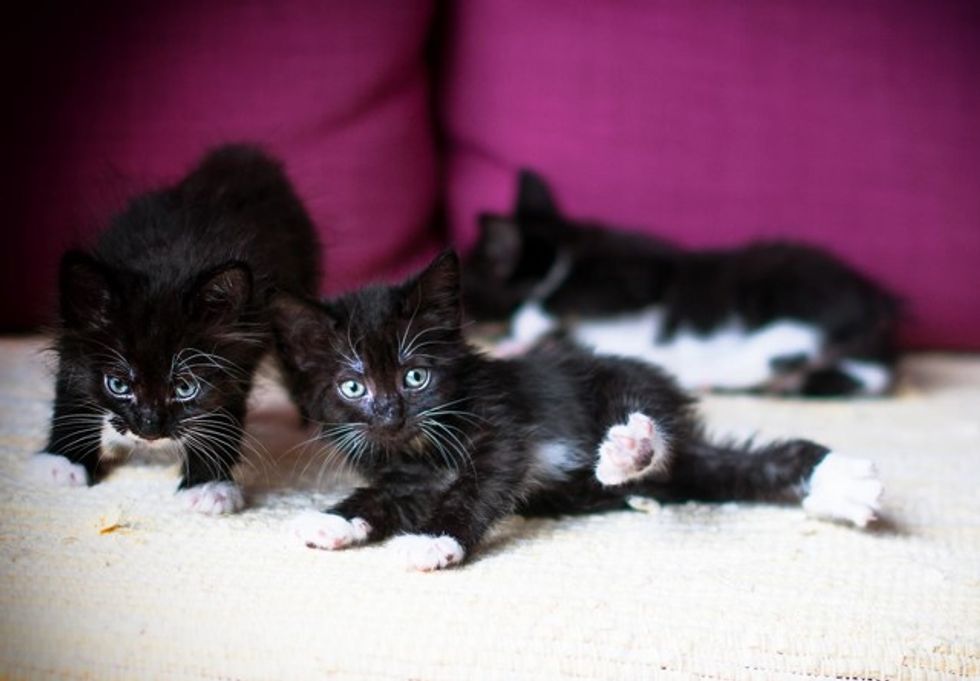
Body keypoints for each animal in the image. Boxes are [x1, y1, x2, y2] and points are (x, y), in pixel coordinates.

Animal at [30, 144, 321, 514]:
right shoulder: (75, 334)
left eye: (184, 388)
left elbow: (221, 411)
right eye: (118, 384)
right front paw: (63, 461)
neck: (165, 263)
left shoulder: (239, 347)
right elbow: (74, 390)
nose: (149, 429)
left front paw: (209, 485)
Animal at [273, 250, 882, 571]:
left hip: (623, 382)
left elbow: (479, 483)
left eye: (415, 376)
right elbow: (380, 497)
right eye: (353, 386)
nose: (390, 413)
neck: (420, 447)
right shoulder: (403, 476)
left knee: (655, 427)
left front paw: (434, 538)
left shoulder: (503, 428)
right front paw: (334, 520)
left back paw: (628, 449)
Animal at [462, 170, 901, 397]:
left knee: (784, 347)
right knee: (864, 375)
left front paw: (519, 333)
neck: (567, 244)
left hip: (790, 292)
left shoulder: (638, 273)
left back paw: (700, 373)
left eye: (469, 282)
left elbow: (560, 294)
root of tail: (878, 299)